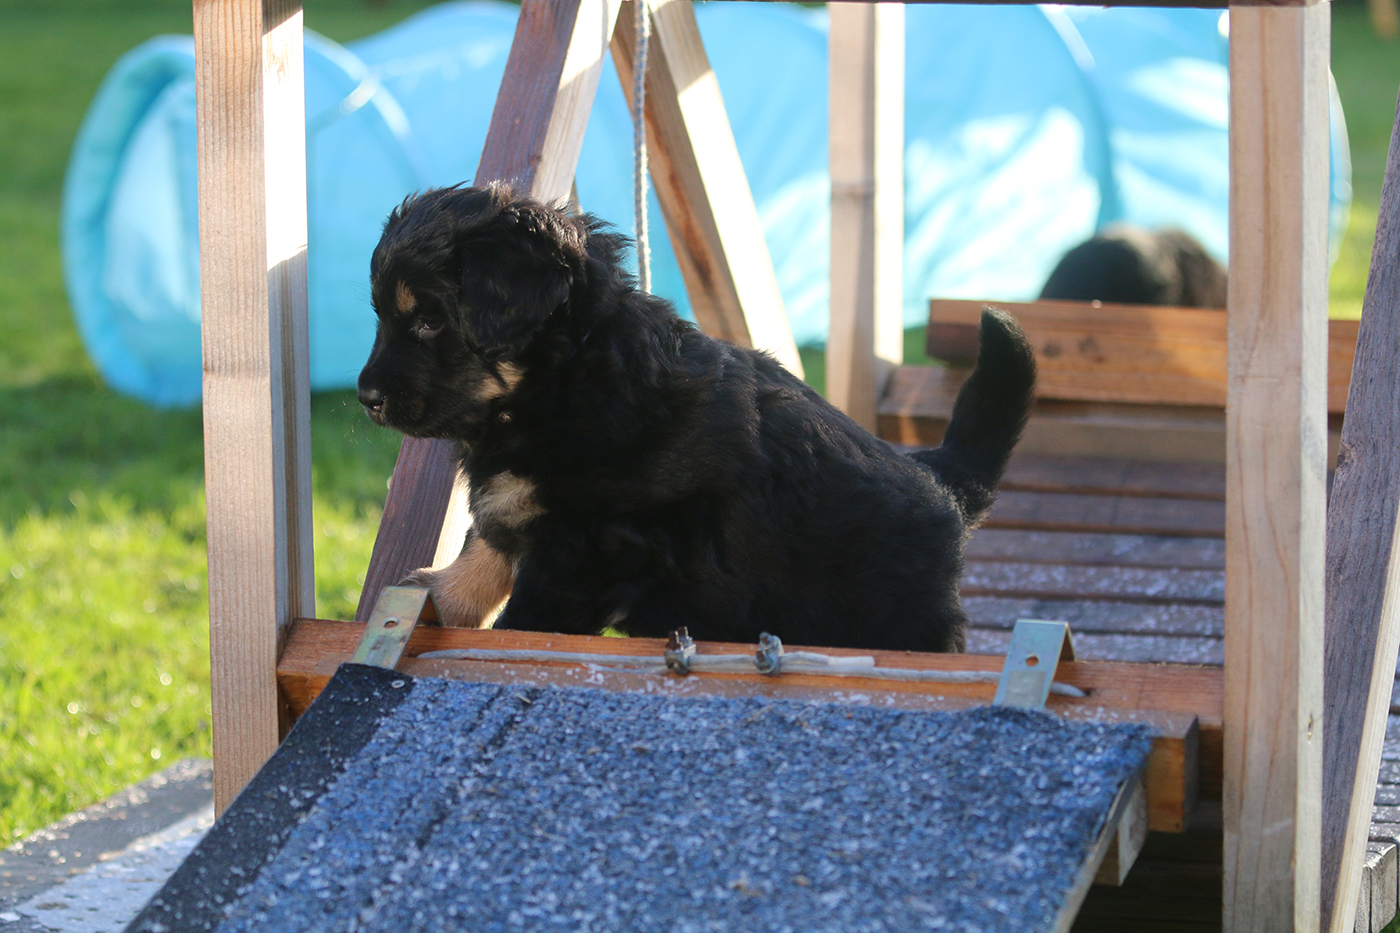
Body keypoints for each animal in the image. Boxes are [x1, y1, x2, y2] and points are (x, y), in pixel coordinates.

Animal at [357, 183, 1036, 653]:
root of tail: (945, 486)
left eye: (428, 322)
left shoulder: (594, 547)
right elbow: (482, 555)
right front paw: (432, 597)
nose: (365, 397)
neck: (566, 379)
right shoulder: (526, 512)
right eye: (384, 318)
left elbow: (528, 618)